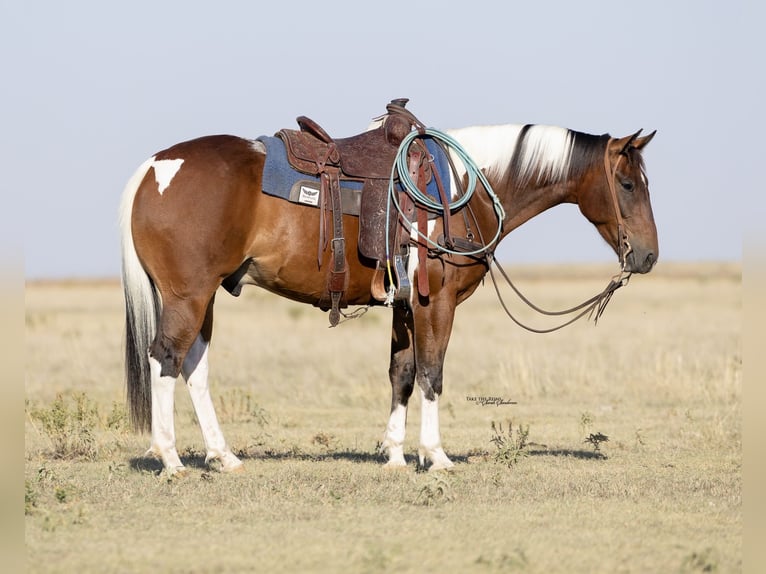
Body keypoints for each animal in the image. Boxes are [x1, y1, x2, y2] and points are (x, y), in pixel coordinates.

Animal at [119, 105, 658, 475]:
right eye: (628, 184)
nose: (648, 256)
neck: (462, 188)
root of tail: (153, 166)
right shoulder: (436, 302)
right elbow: (432, 372)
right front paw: (435, 455)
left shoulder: (404, 305)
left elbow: (402, 373)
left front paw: (396, 455)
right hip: (189, 295)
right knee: (166, 357)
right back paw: (171, 459)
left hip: (205, 297)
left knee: (194, 367)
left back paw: (223, 455)